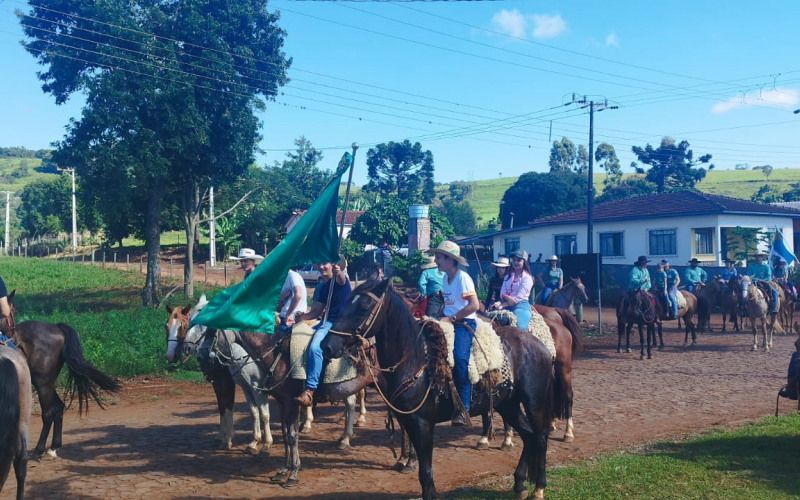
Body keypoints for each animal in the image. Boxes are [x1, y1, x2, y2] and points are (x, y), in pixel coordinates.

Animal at [322, 280, 552, 500]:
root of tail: (539, 344)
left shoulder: (423, 424)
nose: (327, 345)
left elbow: (425, 473)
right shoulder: (408, 420)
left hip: (533, 402)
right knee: (529, 436)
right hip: (508, 404)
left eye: (364, 307)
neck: (414, 359)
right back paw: (520, 485)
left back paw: (539, 488)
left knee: (540, 437)